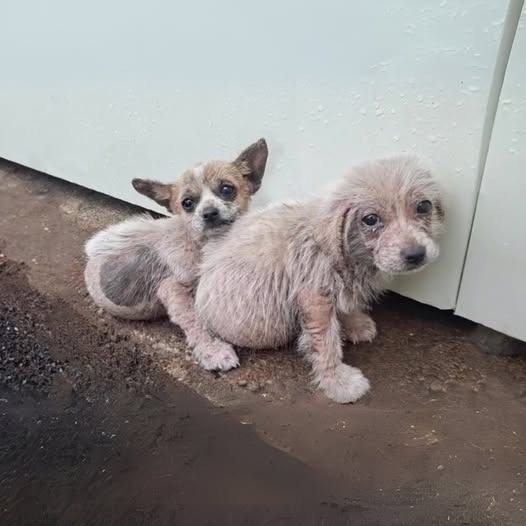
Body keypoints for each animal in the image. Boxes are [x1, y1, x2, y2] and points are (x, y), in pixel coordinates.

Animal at [86, 140, 270, 372]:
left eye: (227, 189)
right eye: (187, 203)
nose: (209, 213)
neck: (200, 245)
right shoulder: (172, 289)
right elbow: (194, 319)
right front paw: (213, 350)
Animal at [196, 157, 448, 404]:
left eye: (424, 206)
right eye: (370, 219)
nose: (416, 254)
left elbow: (348, 303)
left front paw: (356, 324)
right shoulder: (315, 300)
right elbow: (326, 343)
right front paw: (338, 382)